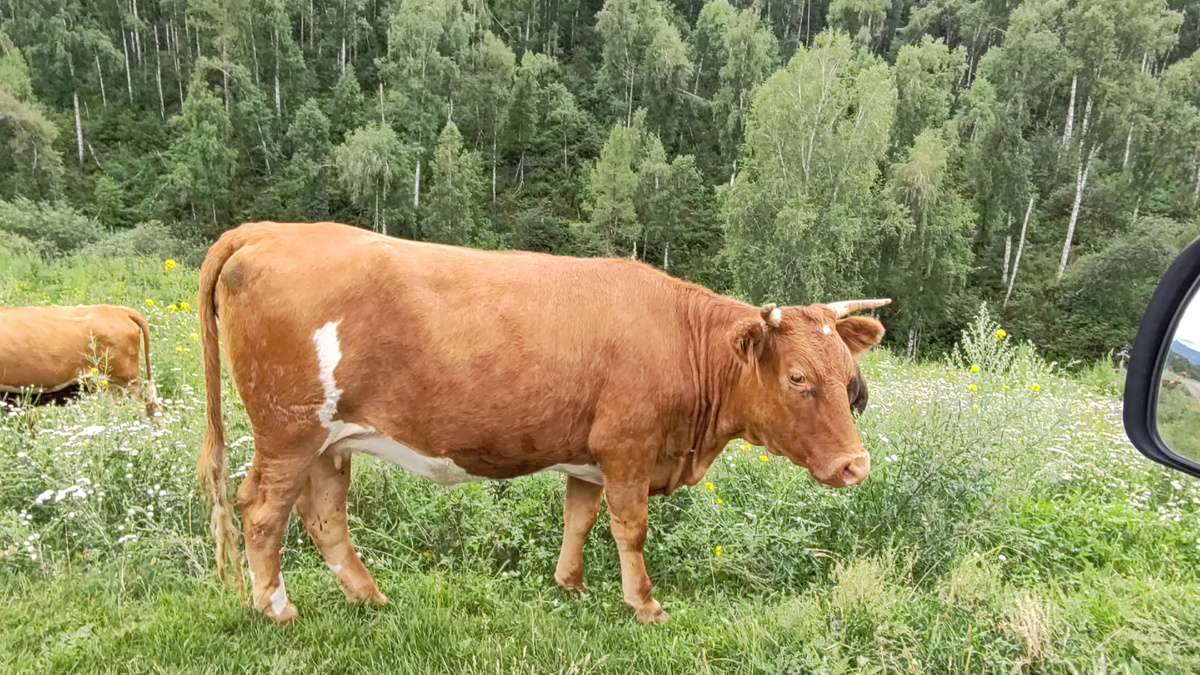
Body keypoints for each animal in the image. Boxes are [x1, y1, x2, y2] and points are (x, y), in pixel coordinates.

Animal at [199, 223, 892, 624]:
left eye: (846, 374)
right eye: (799, 378)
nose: (856, 465)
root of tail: (272, 230)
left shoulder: (589, 453)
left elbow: (578, 516)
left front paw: (571, 585)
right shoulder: (628, 448)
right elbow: (630, 529)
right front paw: (644, 604)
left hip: (329, 440)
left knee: (323, 515)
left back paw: (368, 598)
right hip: (289, 430)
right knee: (261, 509)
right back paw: (277, 608)